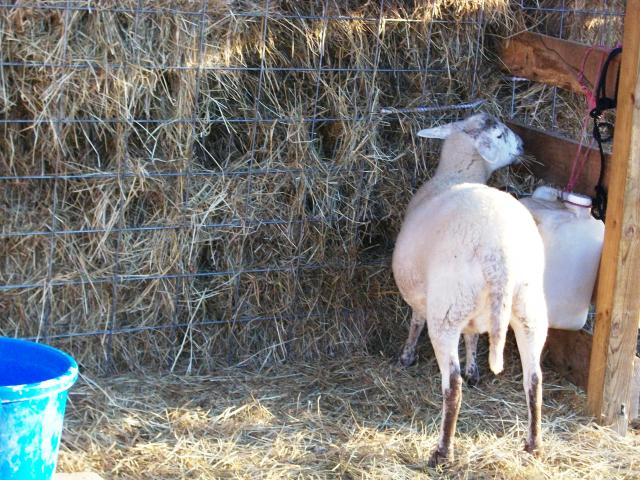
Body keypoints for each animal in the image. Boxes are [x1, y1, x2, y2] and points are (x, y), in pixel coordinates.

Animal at [392, 112, 548, 464]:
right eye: (501, 134)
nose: (524, 145)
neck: (452, 175)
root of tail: (499, 252)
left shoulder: (424, 299)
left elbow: (415, 322)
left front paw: (406, 356)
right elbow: (474, 337)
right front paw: (475, 368)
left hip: (448, 309)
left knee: (452, 386)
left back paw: (442, 452)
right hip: (529, 308)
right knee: (534, 380)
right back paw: (533, 444)